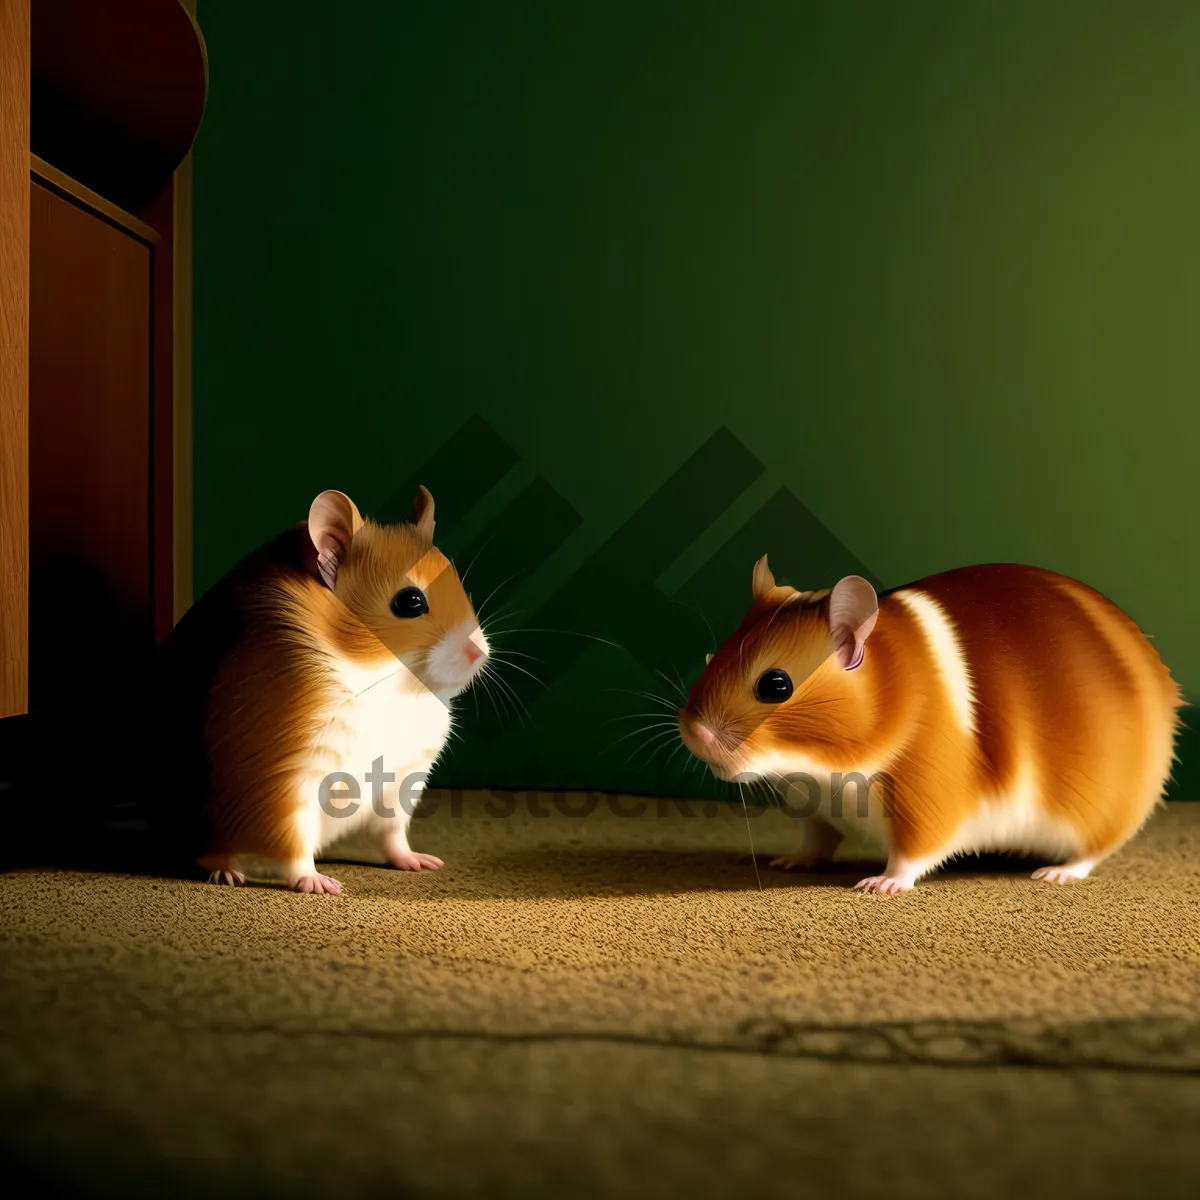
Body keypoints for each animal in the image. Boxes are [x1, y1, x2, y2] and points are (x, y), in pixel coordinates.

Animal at [154, 484, 487, 892]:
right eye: (410, 601)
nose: (479, 652)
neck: (384, 682)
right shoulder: (285, 780)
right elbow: (295, 847)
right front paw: (318, 884)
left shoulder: (400, 785)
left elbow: (394, 837)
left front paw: (420, 862)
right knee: (211, 854)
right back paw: (229, 873)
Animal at [681, 559, 1185, 892]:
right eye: (710, 657)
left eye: (776, 684)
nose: (694, 735)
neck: (824, 769)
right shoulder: (817, 809)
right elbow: (817, 841)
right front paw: (791, 860)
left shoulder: (927, 800)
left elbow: (911, 855)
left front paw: (880, 884)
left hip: (1097, 814)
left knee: (1095, 850)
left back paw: (1056, 872)